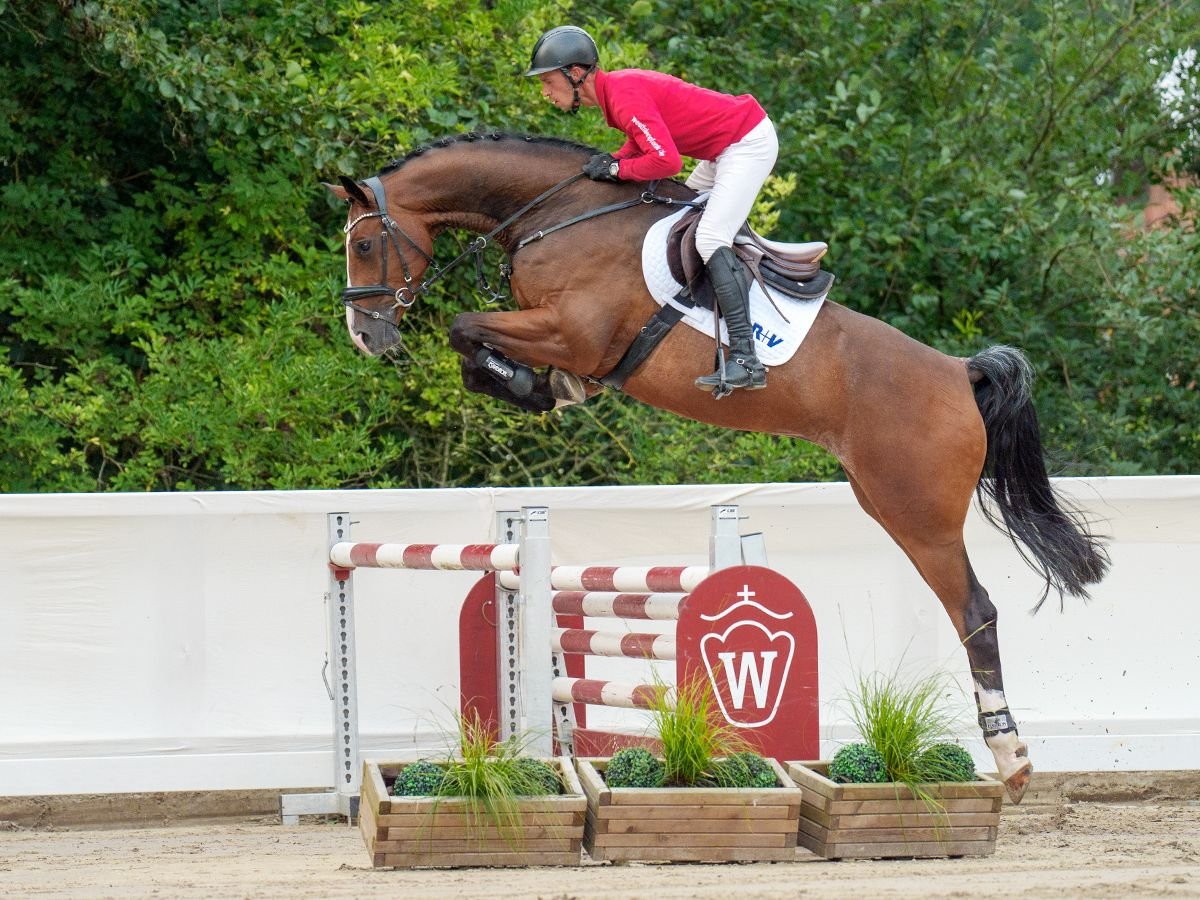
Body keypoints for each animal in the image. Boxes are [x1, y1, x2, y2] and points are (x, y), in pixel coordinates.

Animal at [324, 128, 1108, 801]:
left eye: (363, 243)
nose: (364, 337)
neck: (559, 215)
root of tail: (957, 372)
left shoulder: (572, 331)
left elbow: (466, 331)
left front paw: (530, 384)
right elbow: (476, 344)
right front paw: (543, 388)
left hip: (918, 514)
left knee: (974, 611)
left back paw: (1010, 757)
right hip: (883, 500)